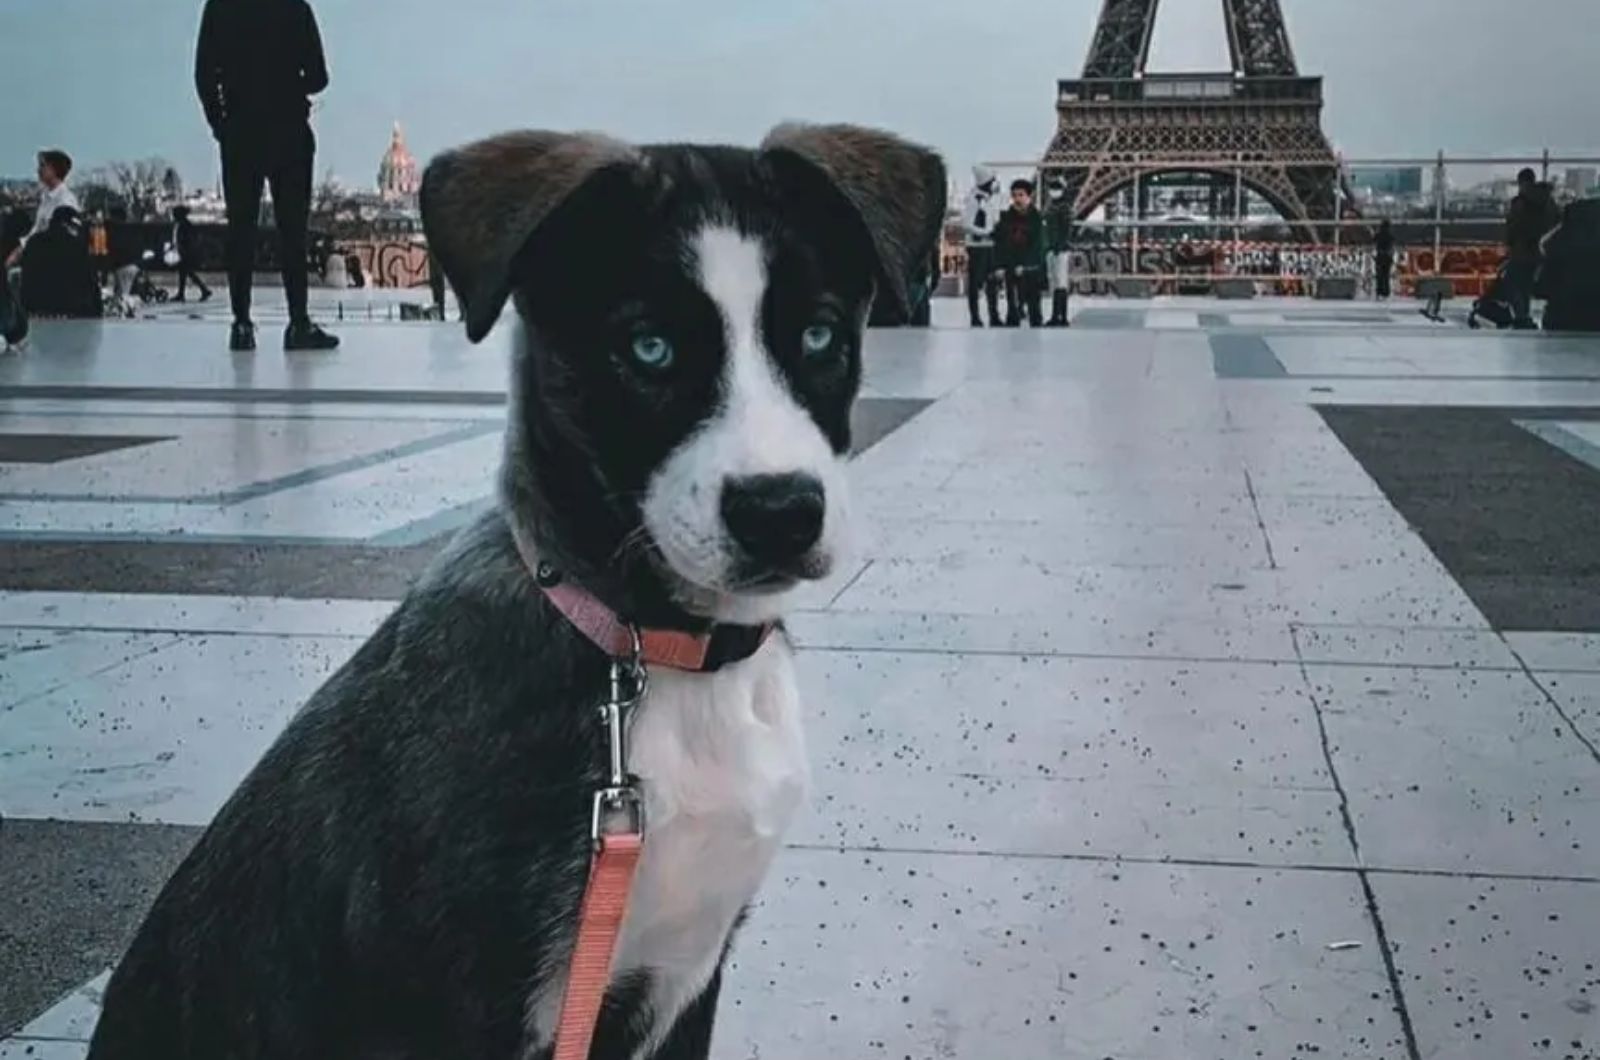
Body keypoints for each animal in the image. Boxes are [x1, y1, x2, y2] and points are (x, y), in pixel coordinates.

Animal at [87, 126, 940, 1060]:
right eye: (648, 349)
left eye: (821, 336)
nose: (780, 512)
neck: (650, 650)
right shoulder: (479, 1005)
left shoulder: (688, 977)